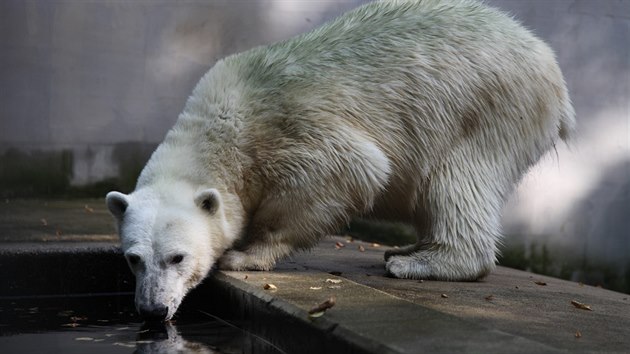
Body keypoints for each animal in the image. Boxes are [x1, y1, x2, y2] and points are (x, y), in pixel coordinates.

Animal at [105, 0, 576, 320]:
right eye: (133, 258)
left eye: (178, 258)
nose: (152, 310)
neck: (221, 122)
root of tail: (547, 62)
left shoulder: (285, 127)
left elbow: (351, 169)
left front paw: (243, 254)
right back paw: (409, 247)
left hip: (486, 105)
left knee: (456, 181)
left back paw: (418, 262)